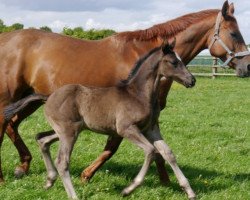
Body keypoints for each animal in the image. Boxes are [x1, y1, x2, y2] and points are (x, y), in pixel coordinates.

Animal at [3, 40, 195, 198]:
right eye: (174, 62)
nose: (192, 80)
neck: (138, 95)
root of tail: (48, 96)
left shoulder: (151, 129)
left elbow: (168, 153)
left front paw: (189, 191)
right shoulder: (126, 129)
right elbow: (151, 151)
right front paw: (129, 189)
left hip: (69, 130)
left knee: (42, 139)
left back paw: (50, 180)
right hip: (68, 132)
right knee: (62, 161)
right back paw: (73, 195)